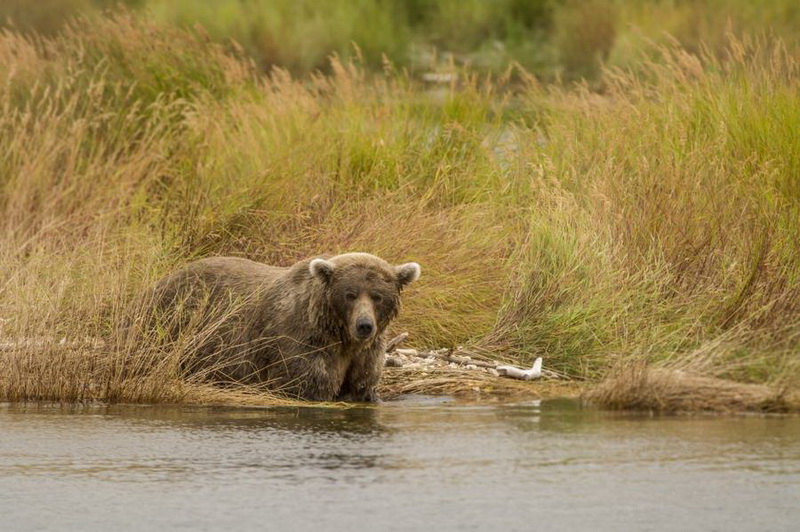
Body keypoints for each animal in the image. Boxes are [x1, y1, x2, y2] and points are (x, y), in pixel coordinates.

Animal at [141, 251, 422, 402]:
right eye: (350, 294)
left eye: (377, 296)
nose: (364, 326)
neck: (339, 335)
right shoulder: (302, 341)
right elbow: (308, 385)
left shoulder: (365, 355)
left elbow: (362, 386)